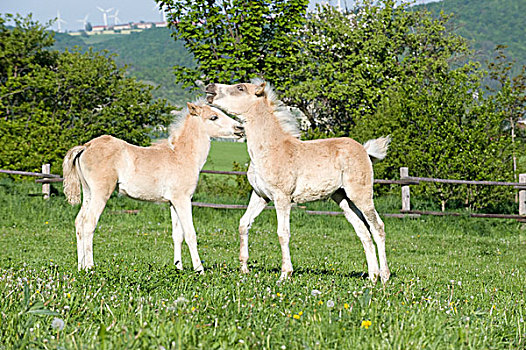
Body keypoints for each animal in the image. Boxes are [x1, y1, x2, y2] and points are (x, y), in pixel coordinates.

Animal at [63, 101, 244, 270]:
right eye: (214, 117)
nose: (240, 127)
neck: (182, 156)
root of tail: (85, 147)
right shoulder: (183, 199)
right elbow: (190, 234)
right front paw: (199, 270)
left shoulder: (173, 202)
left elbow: (177, 235)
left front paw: (178, 267)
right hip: (101, 193)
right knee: (89, 223)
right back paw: (90, 267)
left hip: (88, 192)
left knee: (79, 222)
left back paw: (80, 267)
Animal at [208, 82, 394, 284]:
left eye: (240, 88)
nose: (210, 87)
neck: (270, 149)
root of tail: (365, 151)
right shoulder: (261, 196)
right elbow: (244, 224)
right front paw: (244, 269)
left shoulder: (282, 197)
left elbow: (283, 233)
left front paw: (285, 274)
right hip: (343, 198)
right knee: (363, 231)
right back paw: (372, 277)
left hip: (361, 195)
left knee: (377, 227)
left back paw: (384, 276)